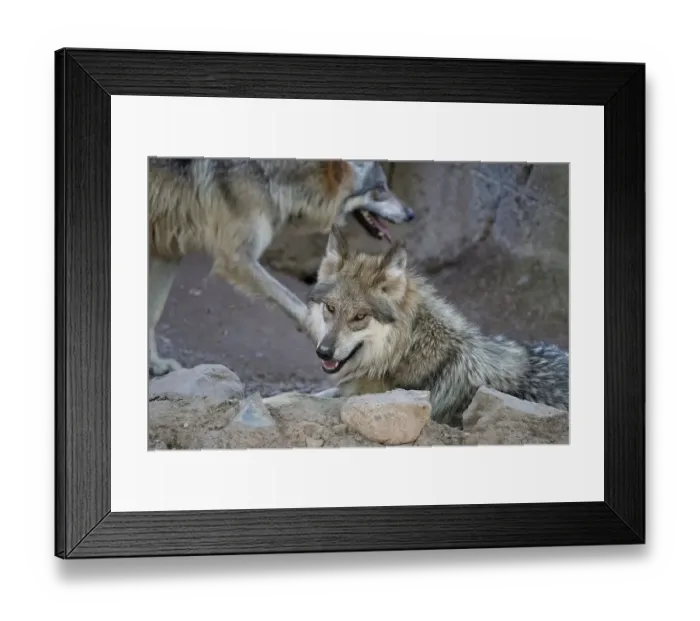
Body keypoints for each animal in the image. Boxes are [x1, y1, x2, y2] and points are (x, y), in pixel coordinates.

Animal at [148, 157, 414, 376]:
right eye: (380, 190)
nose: (411, 213)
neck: (272, 177)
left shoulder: (167, 252)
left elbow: (153, 313)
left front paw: (155, 365)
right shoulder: (238, 258)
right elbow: (295, 303)